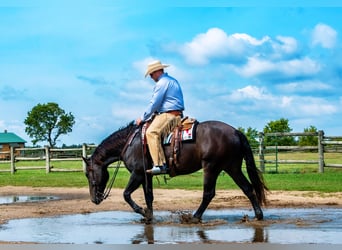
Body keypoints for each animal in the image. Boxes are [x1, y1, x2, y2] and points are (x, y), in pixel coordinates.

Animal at [83, 120, 268, 224]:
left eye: (88, 173)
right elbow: (149, 196)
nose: (93, 199)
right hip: (232, 167)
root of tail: (236, 132)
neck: (131, 142)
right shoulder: (147, 175)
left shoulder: (137, 173)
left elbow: (126, 194)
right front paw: (149, 217)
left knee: (208, 193)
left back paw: (194, 217)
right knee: (248, 188)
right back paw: (258, 215)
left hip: (211, 167)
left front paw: (142, 212)